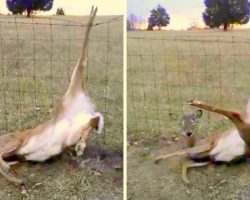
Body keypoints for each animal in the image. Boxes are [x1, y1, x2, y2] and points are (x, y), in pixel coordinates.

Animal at [0, 6, 103, 185]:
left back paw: (15, 176)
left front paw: (81, 147)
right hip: (14, 142)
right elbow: (82, 58)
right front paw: (92, 13)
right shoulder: (74, 87)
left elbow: (88, 128)